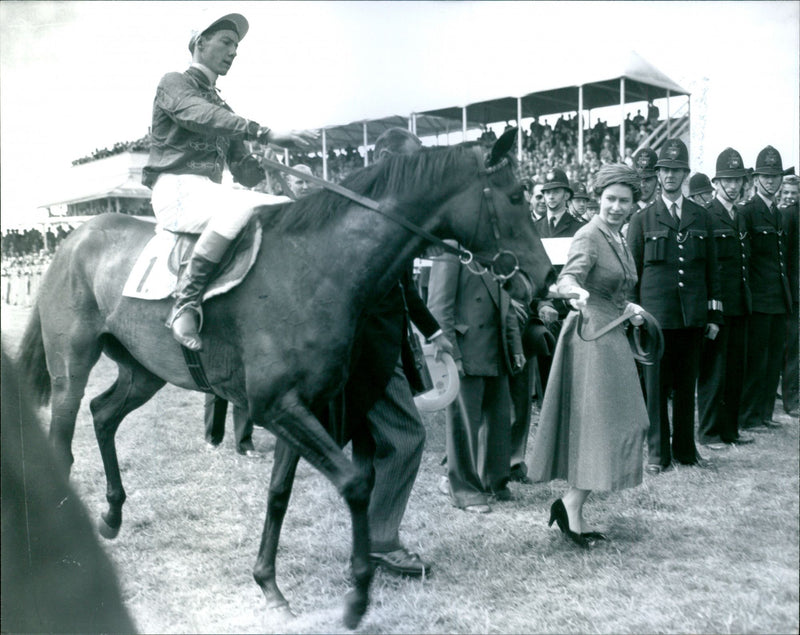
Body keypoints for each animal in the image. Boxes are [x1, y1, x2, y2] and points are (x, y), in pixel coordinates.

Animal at [20, 130, 556, 632]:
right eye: (517, 196)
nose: (547, 276)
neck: (314, 266)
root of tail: (74, 238)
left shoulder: (301, 407)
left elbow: (279, 494)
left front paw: (270, 586)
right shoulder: (277, 406)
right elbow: (355, 482)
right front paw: (356, 596)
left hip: (143, 370)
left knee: (103, 414)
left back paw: (111, 516)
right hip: (71, 367)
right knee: (64, 439)